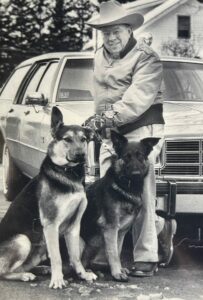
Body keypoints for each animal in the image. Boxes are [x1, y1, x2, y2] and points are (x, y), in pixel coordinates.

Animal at [0, 106, 97, 288]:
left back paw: (40, 269)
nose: (81, 155)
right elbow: (57, 257)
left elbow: (75, 256)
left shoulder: (74, 226)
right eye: (67, 139)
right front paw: (58, 280)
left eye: (83, 139)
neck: (68, 174)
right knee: (3, 271)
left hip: (40, 248)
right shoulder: (51, 224)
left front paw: (83, 274)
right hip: (23, 240)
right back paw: (25, 275)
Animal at [80, 131, 159, 282]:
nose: (136, 174)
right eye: (127, 157)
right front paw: (117, 273)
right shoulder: (110, 227)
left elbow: (118, 250)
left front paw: (119, 270)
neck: (126, 187)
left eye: (140, 156)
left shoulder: (121, 231)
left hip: (93, 243)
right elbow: (113, 253)